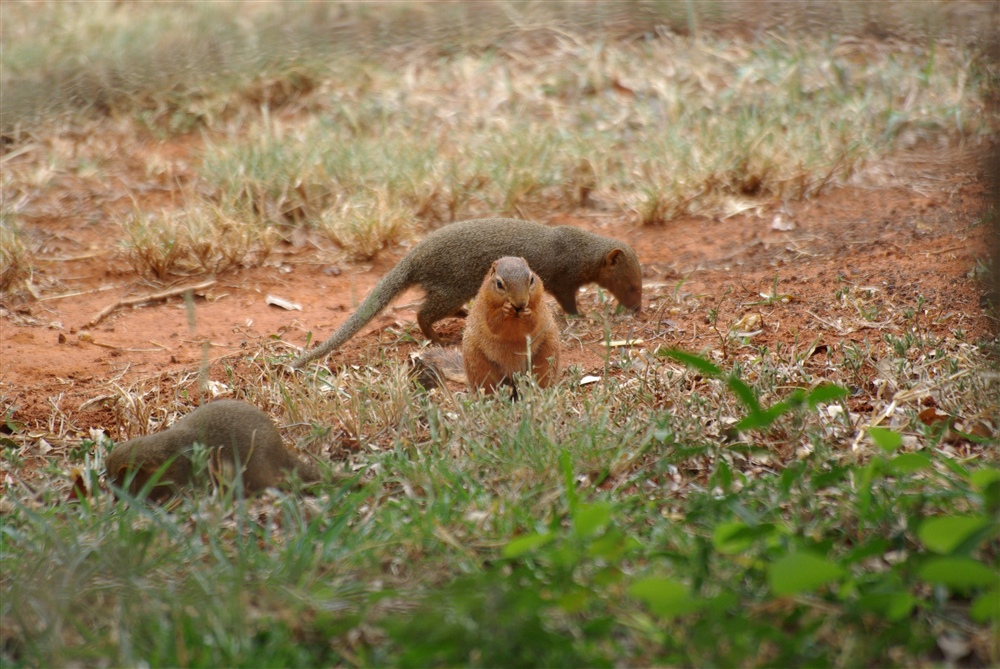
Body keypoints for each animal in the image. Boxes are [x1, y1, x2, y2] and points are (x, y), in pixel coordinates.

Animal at [288, 218, 640, 368]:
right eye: (632, 286)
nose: (637, 308)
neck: (580, 251)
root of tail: (414, 255)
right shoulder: (562, 280)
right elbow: (568, 301)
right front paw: (580, 316)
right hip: (453, 285)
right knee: (422, 312)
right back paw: (438, 338)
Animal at [462, 256, 564, 392]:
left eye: (532, 279)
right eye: (499, 284)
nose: (521, 304)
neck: (515, 317)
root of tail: (514, 373)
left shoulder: (539, 307)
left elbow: (533, 323)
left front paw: (527, 313)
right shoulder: (485, 309)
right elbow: (493, 325)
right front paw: (506, 310)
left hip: (548, 354)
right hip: (478, 365)